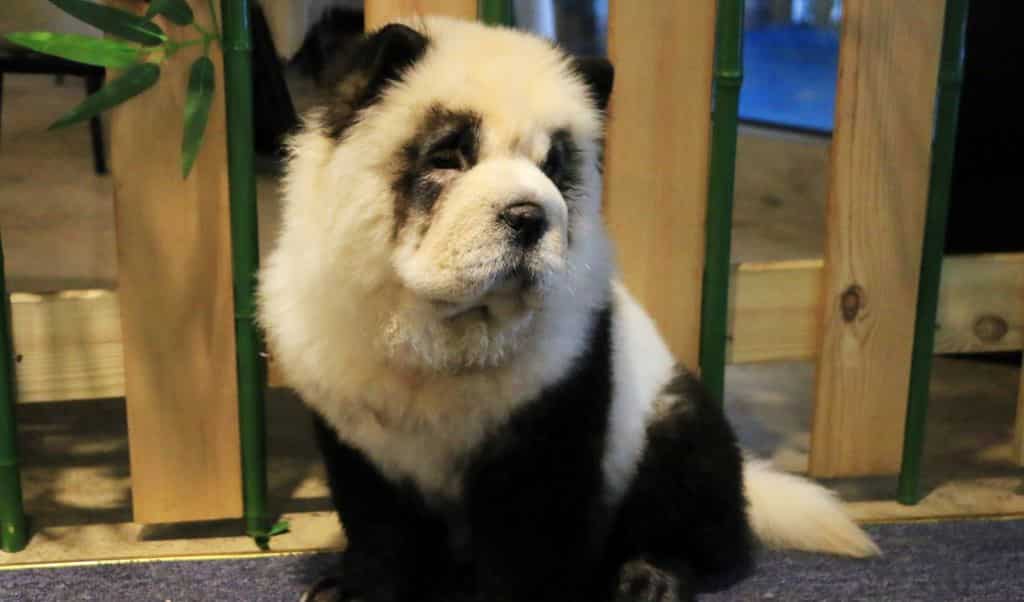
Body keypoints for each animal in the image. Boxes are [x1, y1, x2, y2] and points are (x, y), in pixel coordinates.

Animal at [258, 16, 879, 602]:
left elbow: (533, 541)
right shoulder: (355, 430)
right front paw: (354, 589)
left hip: (666, 420)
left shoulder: (557, 403)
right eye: (449, 157)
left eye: (553, 167)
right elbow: (379, 530)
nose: (529, 216)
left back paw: (651, 576)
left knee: (698, 520)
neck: (446, 333)